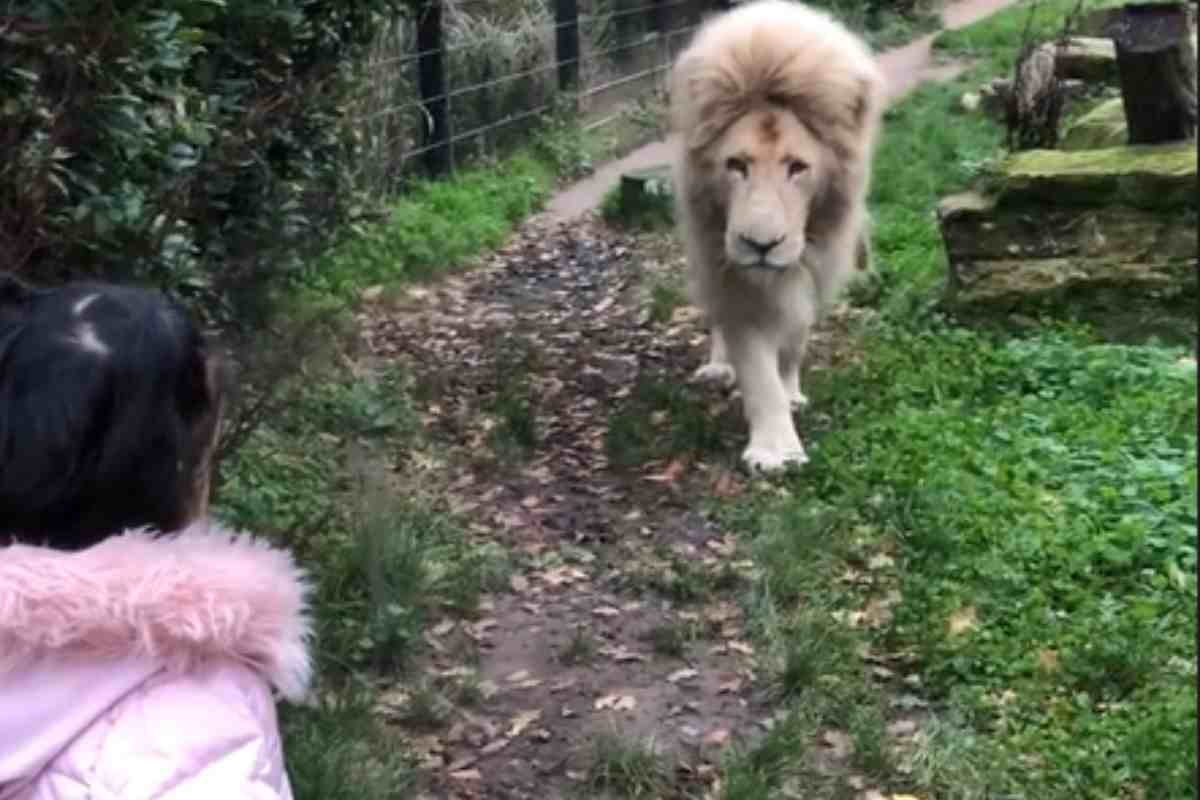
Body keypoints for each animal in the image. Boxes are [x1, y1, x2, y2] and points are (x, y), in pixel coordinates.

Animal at [668, 0, 885, 473]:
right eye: (736, 164)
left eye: (797, 167)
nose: (760, 246)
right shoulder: (736, 281)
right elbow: (757, 369)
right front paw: (773, 452)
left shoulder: (813, 270)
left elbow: (793, 343)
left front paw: (791, 394)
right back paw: (719, 368)